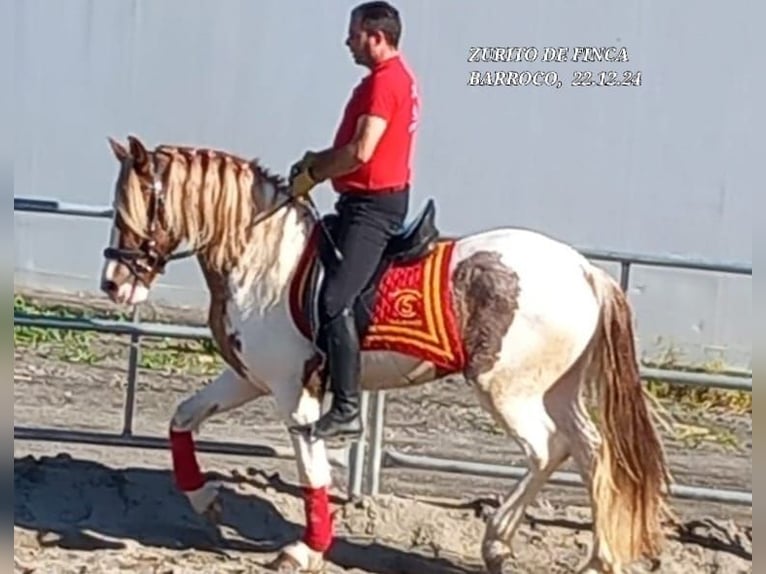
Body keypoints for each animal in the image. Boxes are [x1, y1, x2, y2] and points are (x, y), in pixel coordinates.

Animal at [100, 135, 672, 574]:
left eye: (135, 207)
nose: (113, 283)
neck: (264, 258)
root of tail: (585, 270)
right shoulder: (249, 378)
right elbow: (183, 418)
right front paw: (205, 499)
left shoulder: (293, 392)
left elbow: (312, 471)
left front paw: (305, 550)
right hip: (557, 389)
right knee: (590, 450)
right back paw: (597, 559)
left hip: (507, 390)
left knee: (545, 450)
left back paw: (496, 542)